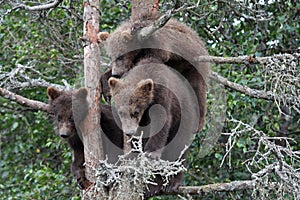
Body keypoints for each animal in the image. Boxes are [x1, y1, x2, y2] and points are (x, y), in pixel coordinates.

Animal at [108, 57, 202, 196]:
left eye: (135, 112)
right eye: (121, 112)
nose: (129, 132)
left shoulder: (162, 96)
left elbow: (161, 123)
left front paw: (151, 152)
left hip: (185, 118)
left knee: (179, 147)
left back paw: (172, 183)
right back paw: (153, 186)